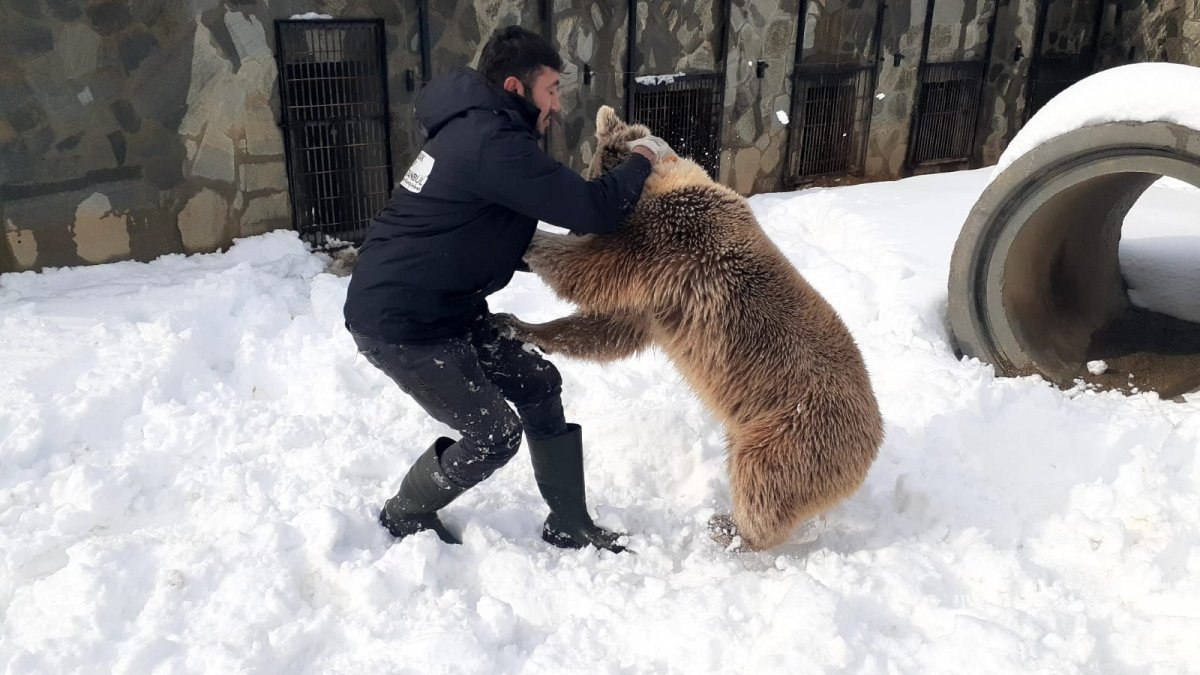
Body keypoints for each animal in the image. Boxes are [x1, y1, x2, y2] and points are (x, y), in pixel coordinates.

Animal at [496, 103, 883, 547]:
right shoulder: (652, 302)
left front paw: (530, 238)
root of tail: (873, 444)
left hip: (792, 431)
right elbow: (609, 331)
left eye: (591, 177)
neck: (663, 182)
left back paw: (730, 529)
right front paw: (517, 324)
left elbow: (590, 271)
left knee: (762, 484)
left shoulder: (669, 242)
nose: (576, 226)